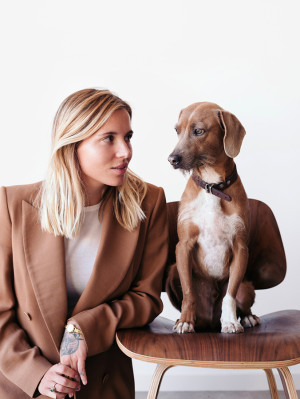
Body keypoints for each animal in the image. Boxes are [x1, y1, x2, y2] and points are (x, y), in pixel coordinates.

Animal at [166, 101, 260, 332]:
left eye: (198, 131)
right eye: (177, 131)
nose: (172, 159)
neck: (212, 186)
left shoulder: (240, 247)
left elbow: (230, 295)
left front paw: (230, 321)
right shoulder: (183, 246)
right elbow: (188, 293)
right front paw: (185, 321)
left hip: (247, 286)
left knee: (239, 298)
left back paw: (247, 317)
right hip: (172, 271)